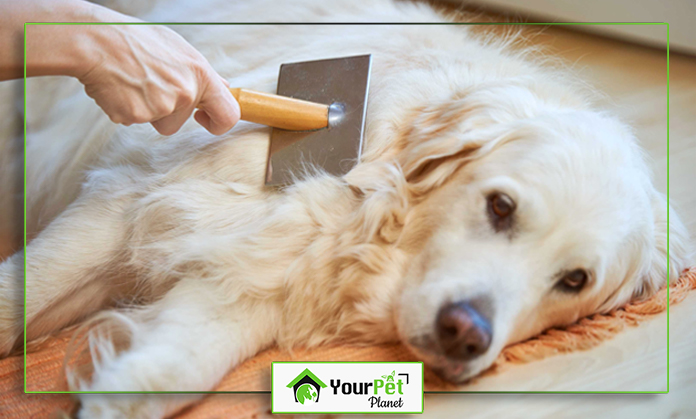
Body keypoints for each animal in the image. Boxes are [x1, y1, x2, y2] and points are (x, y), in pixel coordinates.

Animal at [0, 0, 688, 416]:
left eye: (574, 280)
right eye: (500, 207)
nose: (465, 333)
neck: (363, 209)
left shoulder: (256, 275)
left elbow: (183, 358)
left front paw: (116, 392)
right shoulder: (129, 202)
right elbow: (23, 294)